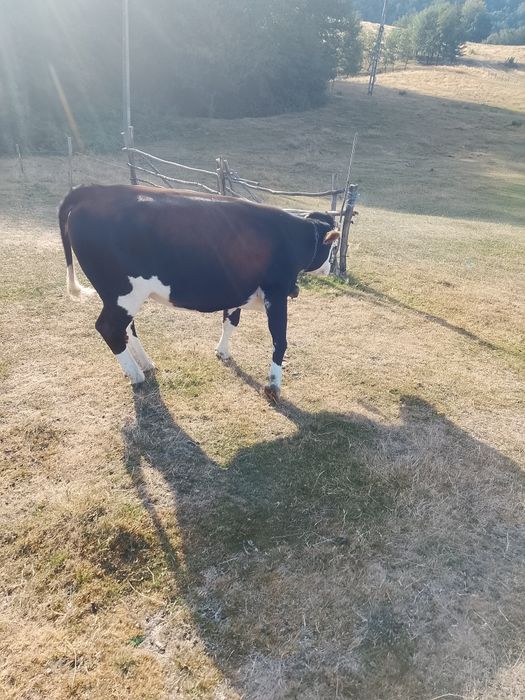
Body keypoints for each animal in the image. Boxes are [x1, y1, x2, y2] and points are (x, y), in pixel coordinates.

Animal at [58, 184, 339, 401]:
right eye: (332, 248)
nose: (329, 269)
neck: (294, 236)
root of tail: (94, 190)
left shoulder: (237, 288)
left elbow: (231, 321)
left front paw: (222, 352)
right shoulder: (277, 292)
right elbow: (280, 340)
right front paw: (273, 386)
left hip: (121, 297)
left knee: (126, 328)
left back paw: (144, 365)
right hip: (123, 292)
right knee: (108, 328)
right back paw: (136, 376)